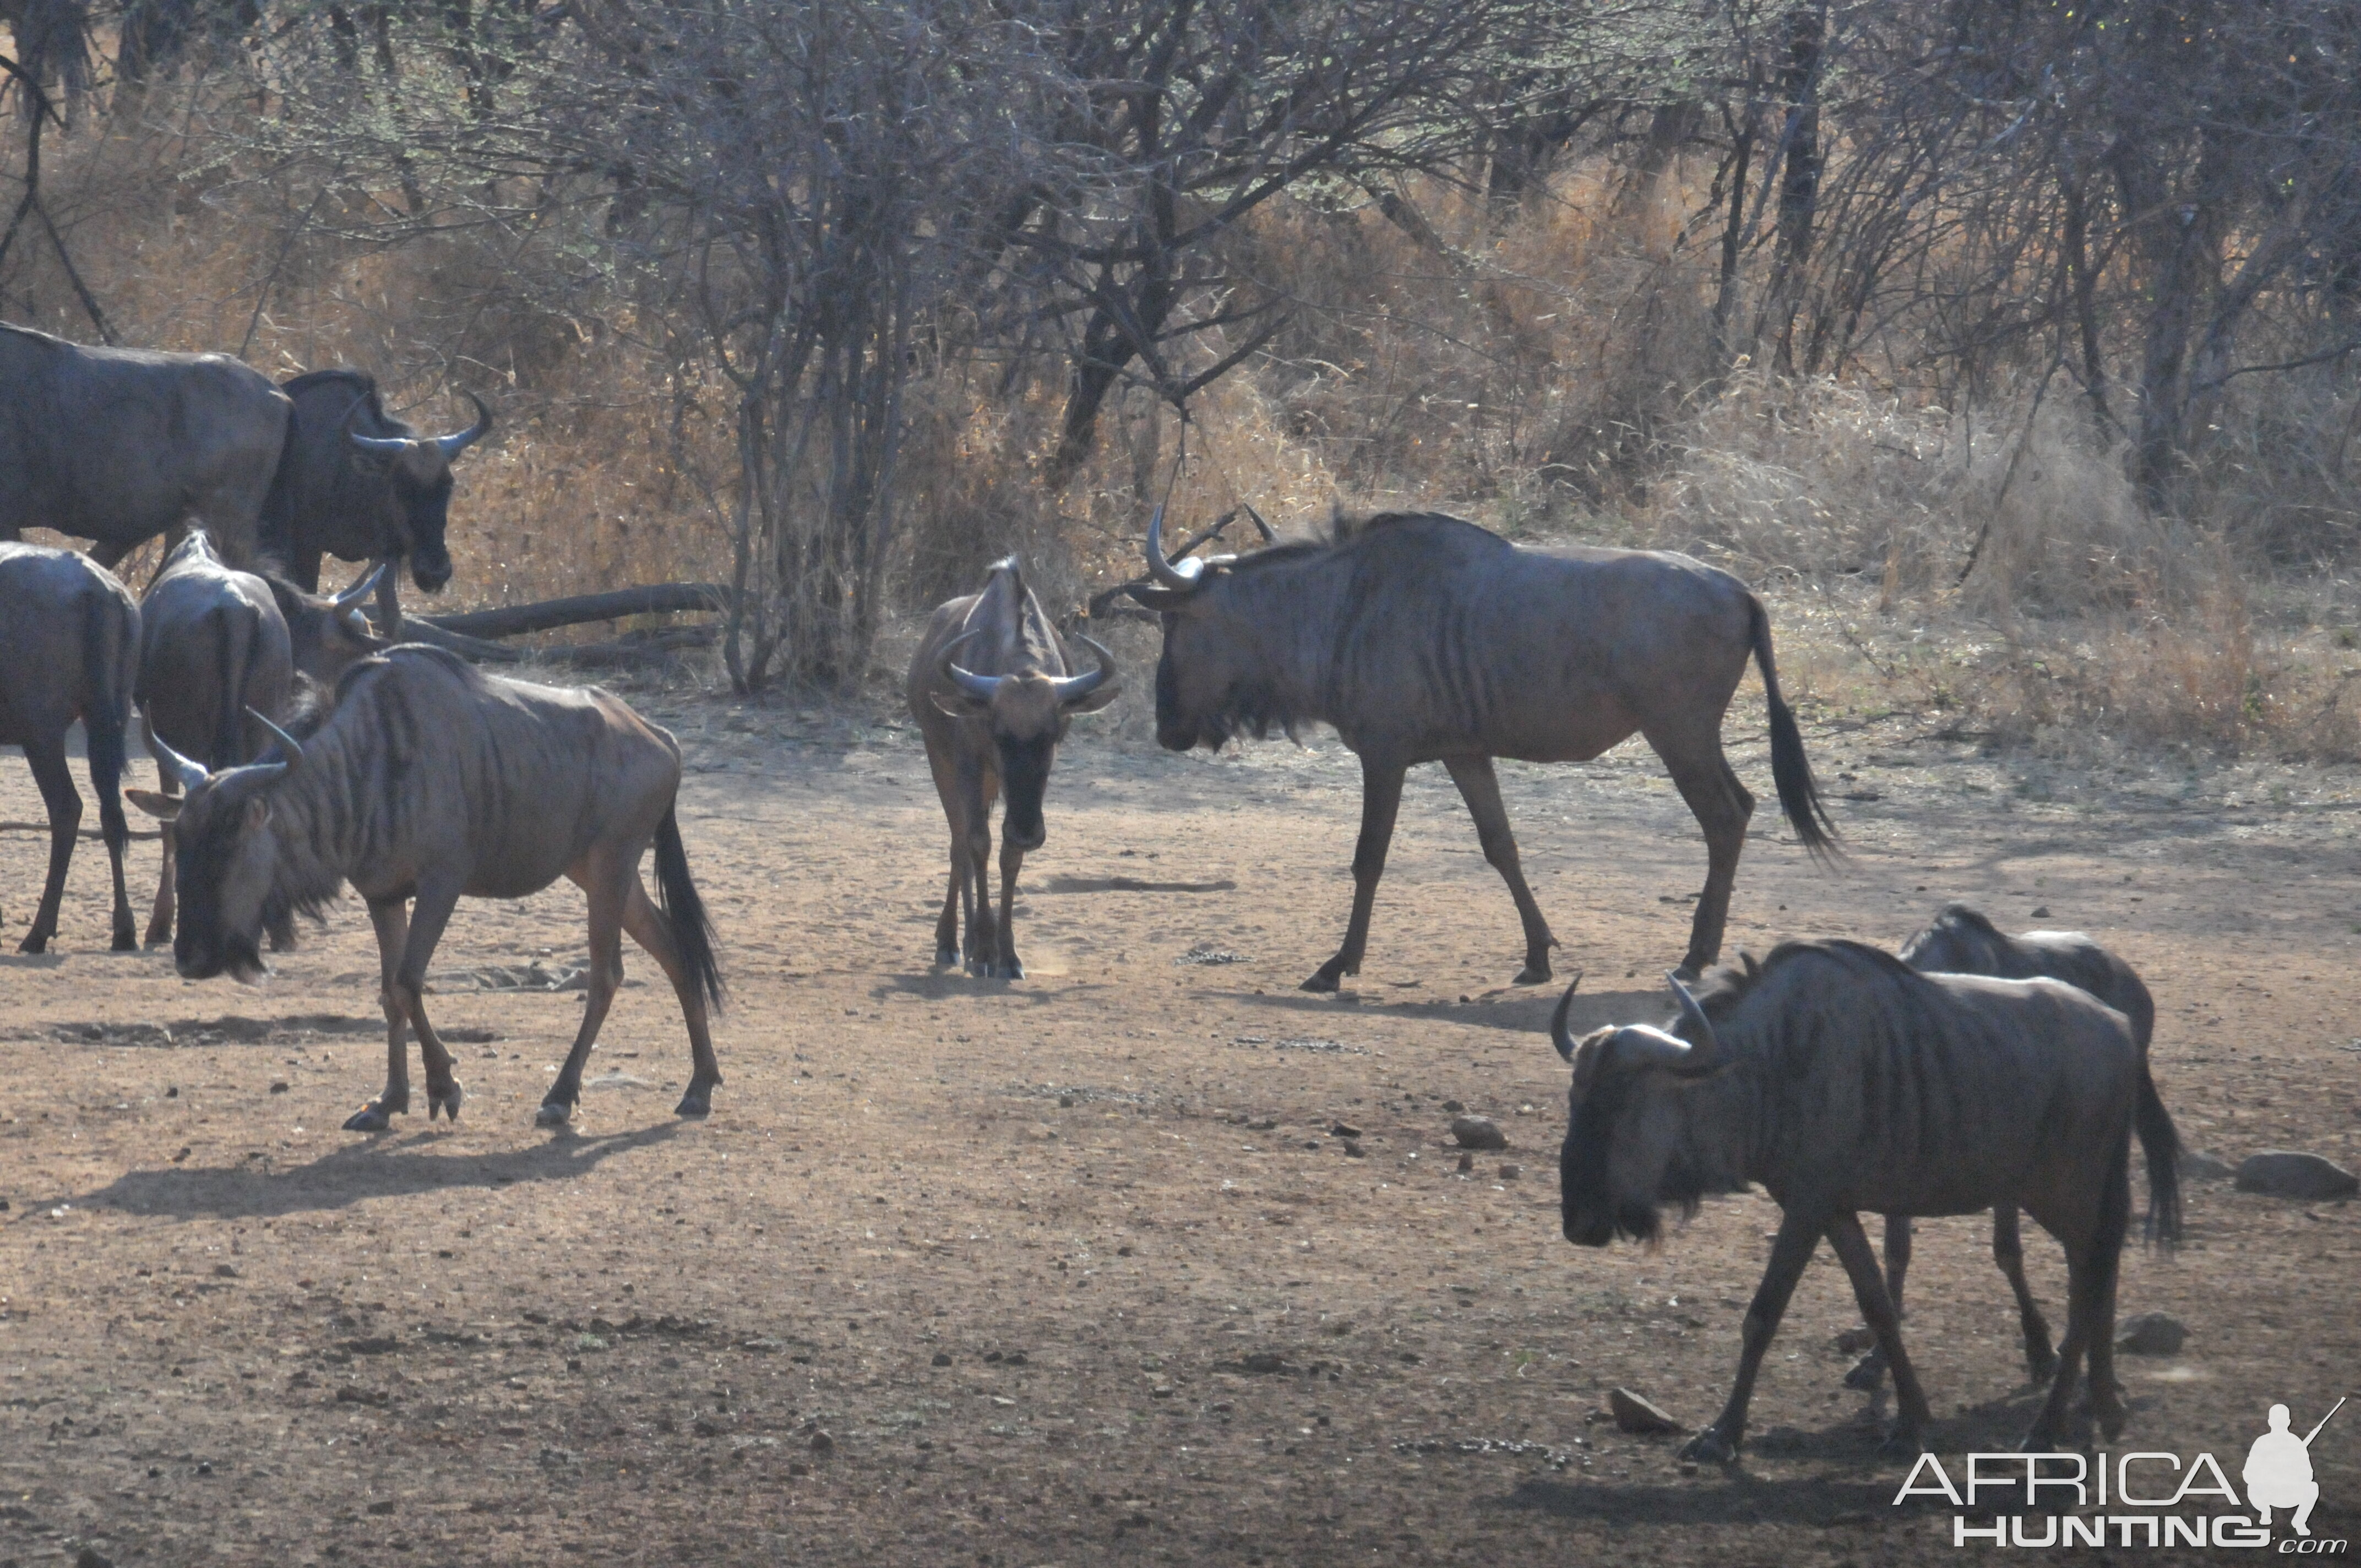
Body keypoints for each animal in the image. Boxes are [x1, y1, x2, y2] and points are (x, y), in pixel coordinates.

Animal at [127, 647, 717, 1129]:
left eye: (228, 845)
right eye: (183, 841)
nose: (190, 959)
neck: (369, 766)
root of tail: (663, 740)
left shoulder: (442, 886)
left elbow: (410, 982)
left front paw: (444, 1086)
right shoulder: (383, 896)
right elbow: (390, 993)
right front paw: (387, 1102)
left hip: (611, 871)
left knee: (606, 975)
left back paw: (559, 1096)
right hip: (601, 875)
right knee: (674, 950)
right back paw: (700, 1086)